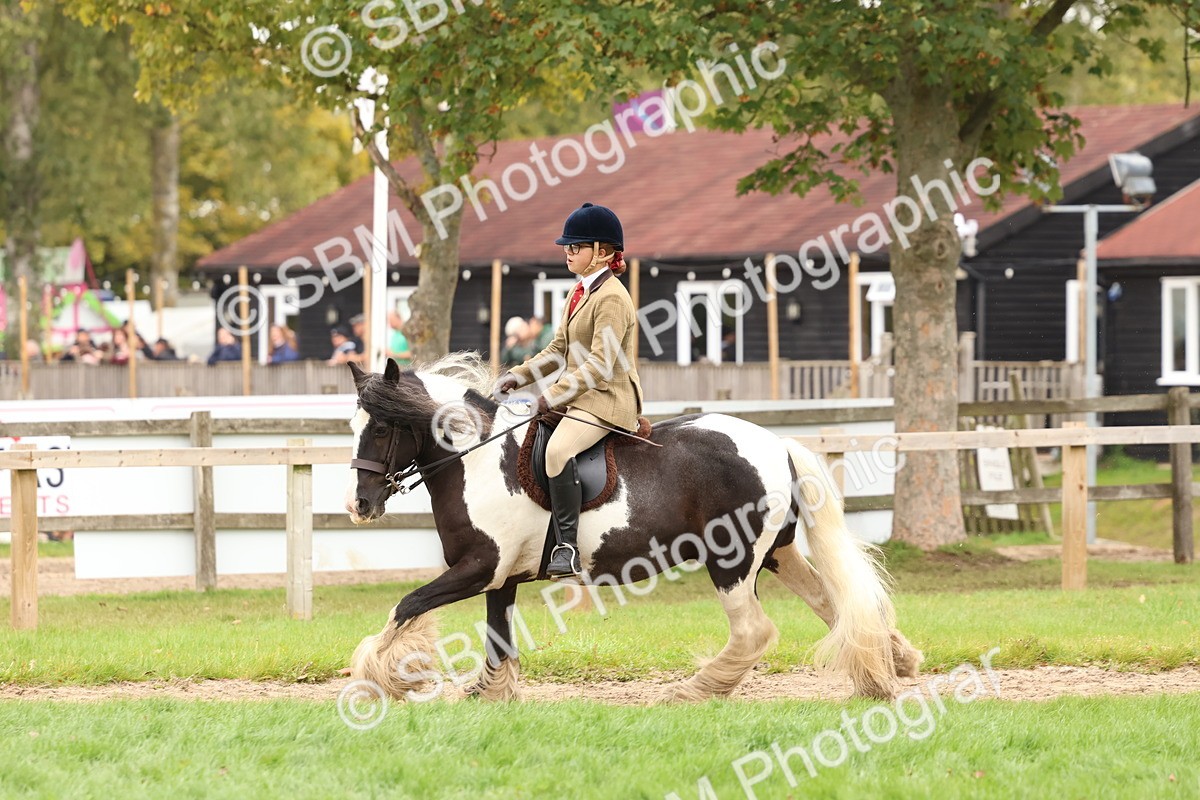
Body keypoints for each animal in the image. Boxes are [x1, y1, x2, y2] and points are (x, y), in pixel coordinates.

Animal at [345, 353, 922, 702]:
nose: (360, 505)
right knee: (832, 603)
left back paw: (693, 690)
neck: (478, 458)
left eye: (383, 427)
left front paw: (378, 678)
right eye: (355, 425)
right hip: (778, 553)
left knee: (754, 631)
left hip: (732, 561)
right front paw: (488, 694)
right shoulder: (501, 577)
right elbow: (497, 638)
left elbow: (406, 606)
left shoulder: (478, 568)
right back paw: (891, 663)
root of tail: (776, 443)